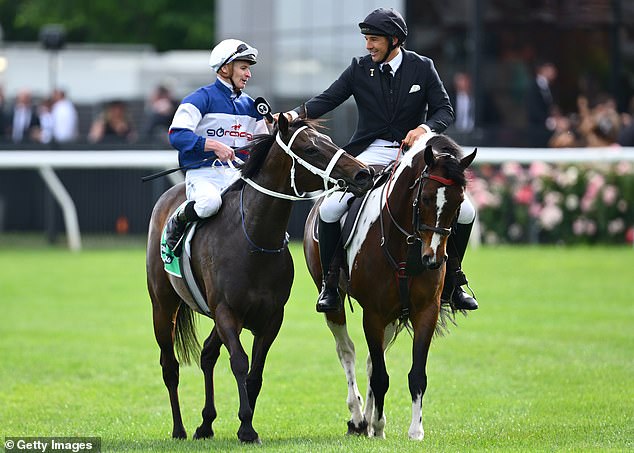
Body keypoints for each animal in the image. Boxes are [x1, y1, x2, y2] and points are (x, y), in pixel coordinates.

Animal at [144, 115, 370, 444]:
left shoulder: (271, 317)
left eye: (329, 142)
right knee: (169, 365)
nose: (364, 173)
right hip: (163, 305)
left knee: (207, 354)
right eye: (311, 149)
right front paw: (247, 428)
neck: (253, 237)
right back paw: (179, 428)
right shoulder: (227, 312)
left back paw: (205, 424)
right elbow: (240, 363)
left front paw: (244, 422)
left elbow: (256, 371)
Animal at [302, 133, 474, 438]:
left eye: (458, 202)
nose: (433, 259)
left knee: (373, 359)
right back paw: (358, 418)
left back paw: (369, 421)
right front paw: (377, 424)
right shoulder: (374, 314)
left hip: (395, 316)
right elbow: (380, 376)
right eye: (426, 198)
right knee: (347, 351)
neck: (406, 245)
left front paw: (415, 431)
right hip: (337, 308)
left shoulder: (424, 311)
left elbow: (416, 375)